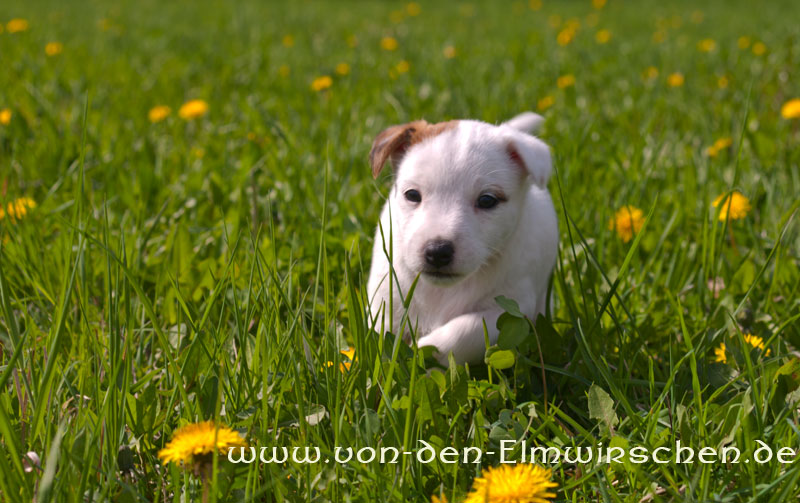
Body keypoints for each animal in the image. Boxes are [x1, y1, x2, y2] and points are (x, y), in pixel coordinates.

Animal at [368, 112, 556, 366]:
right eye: (412, 195)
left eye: (487, 200)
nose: (437, 251)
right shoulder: (388, 298)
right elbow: (382, 334)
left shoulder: (510, 308)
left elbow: (463, 332)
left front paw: (420, 350)